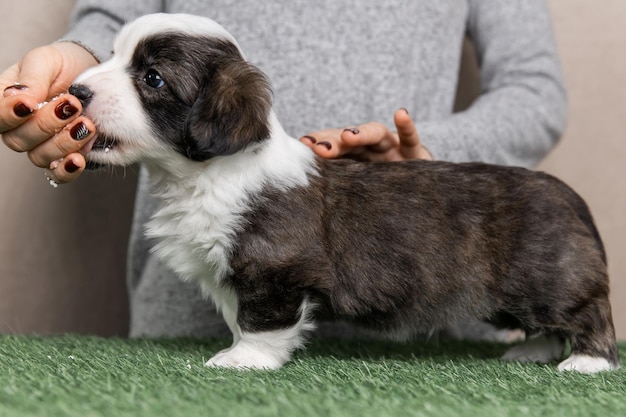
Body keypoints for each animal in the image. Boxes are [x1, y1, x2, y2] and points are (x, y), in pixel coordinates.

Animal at [70, 13, 616, 372]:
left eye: (153, 78)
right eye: (111, 56)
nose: (75, 91)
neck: (203, 175)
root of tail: (570, 198)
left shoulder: (273, 271)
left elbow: (259, 322)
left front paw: (243, 360)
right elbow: (237, 314)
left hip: (549, 280)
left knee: (588, 314)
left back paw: (586, 363)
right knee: (547, 325)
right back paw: (532, 351)